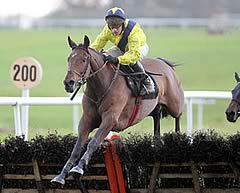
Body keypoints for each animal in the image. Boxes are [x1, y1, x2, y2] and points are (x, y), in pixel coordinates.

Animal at [51, 35, 184, 185]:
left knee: (178, 115)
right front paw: (61, 175)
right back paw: (156, 141)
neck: (101, 87)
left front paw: (79, 168)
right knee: (157, 115)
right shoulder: (87, 120)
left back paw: (178, 138)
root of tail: (164, 63)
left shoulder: (110, 120)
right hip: (154, 106)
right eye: (69, 59)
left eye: (83, 59)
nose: (69, 83)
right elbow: (77, 148)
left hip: (174, 103)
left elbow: (93, 142)